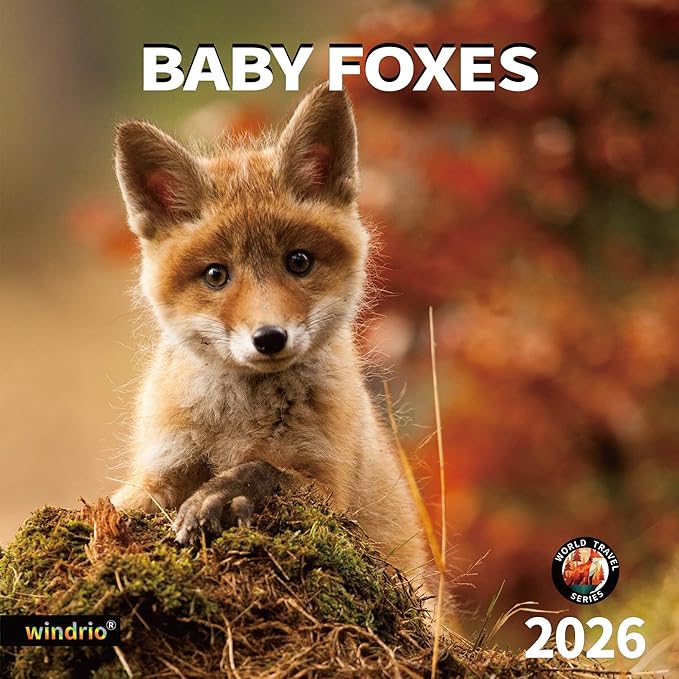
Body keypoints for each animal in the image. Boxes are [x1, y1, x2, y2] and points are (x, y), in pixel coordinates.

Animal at [111, 82, 430, 595]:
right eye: (216, 274)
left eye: (298, 261)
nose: (269, 338)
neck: (238, 422)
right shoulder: (158, 470)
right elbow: (120, 506)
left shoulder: (329, 488)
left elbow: (265, 469)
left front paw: (221, 497)